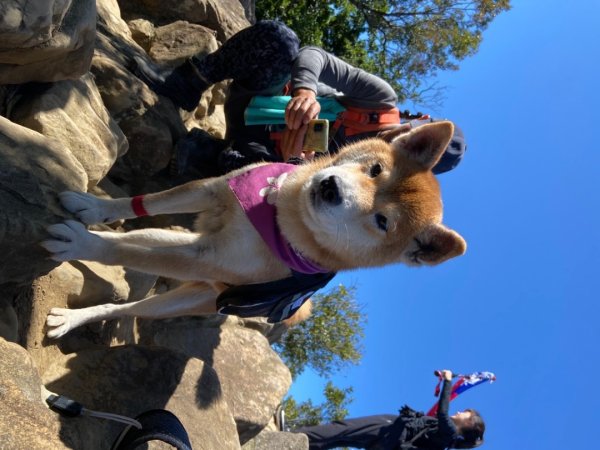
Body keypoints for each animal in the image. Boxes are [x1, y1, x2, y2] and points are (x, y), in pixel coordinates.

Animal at [41, 120, 464, 338]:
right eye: (376, 169)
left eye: (383, 222)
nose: (331, 188)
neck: (280, 211)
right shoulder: (214, 189)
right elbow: (146, 202)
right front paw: (96, 207)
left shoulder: (204, 256)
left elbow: (121, 248)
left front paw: (83, 243)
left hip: (188, 292)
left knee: (130, 301)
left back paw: (81, 315)